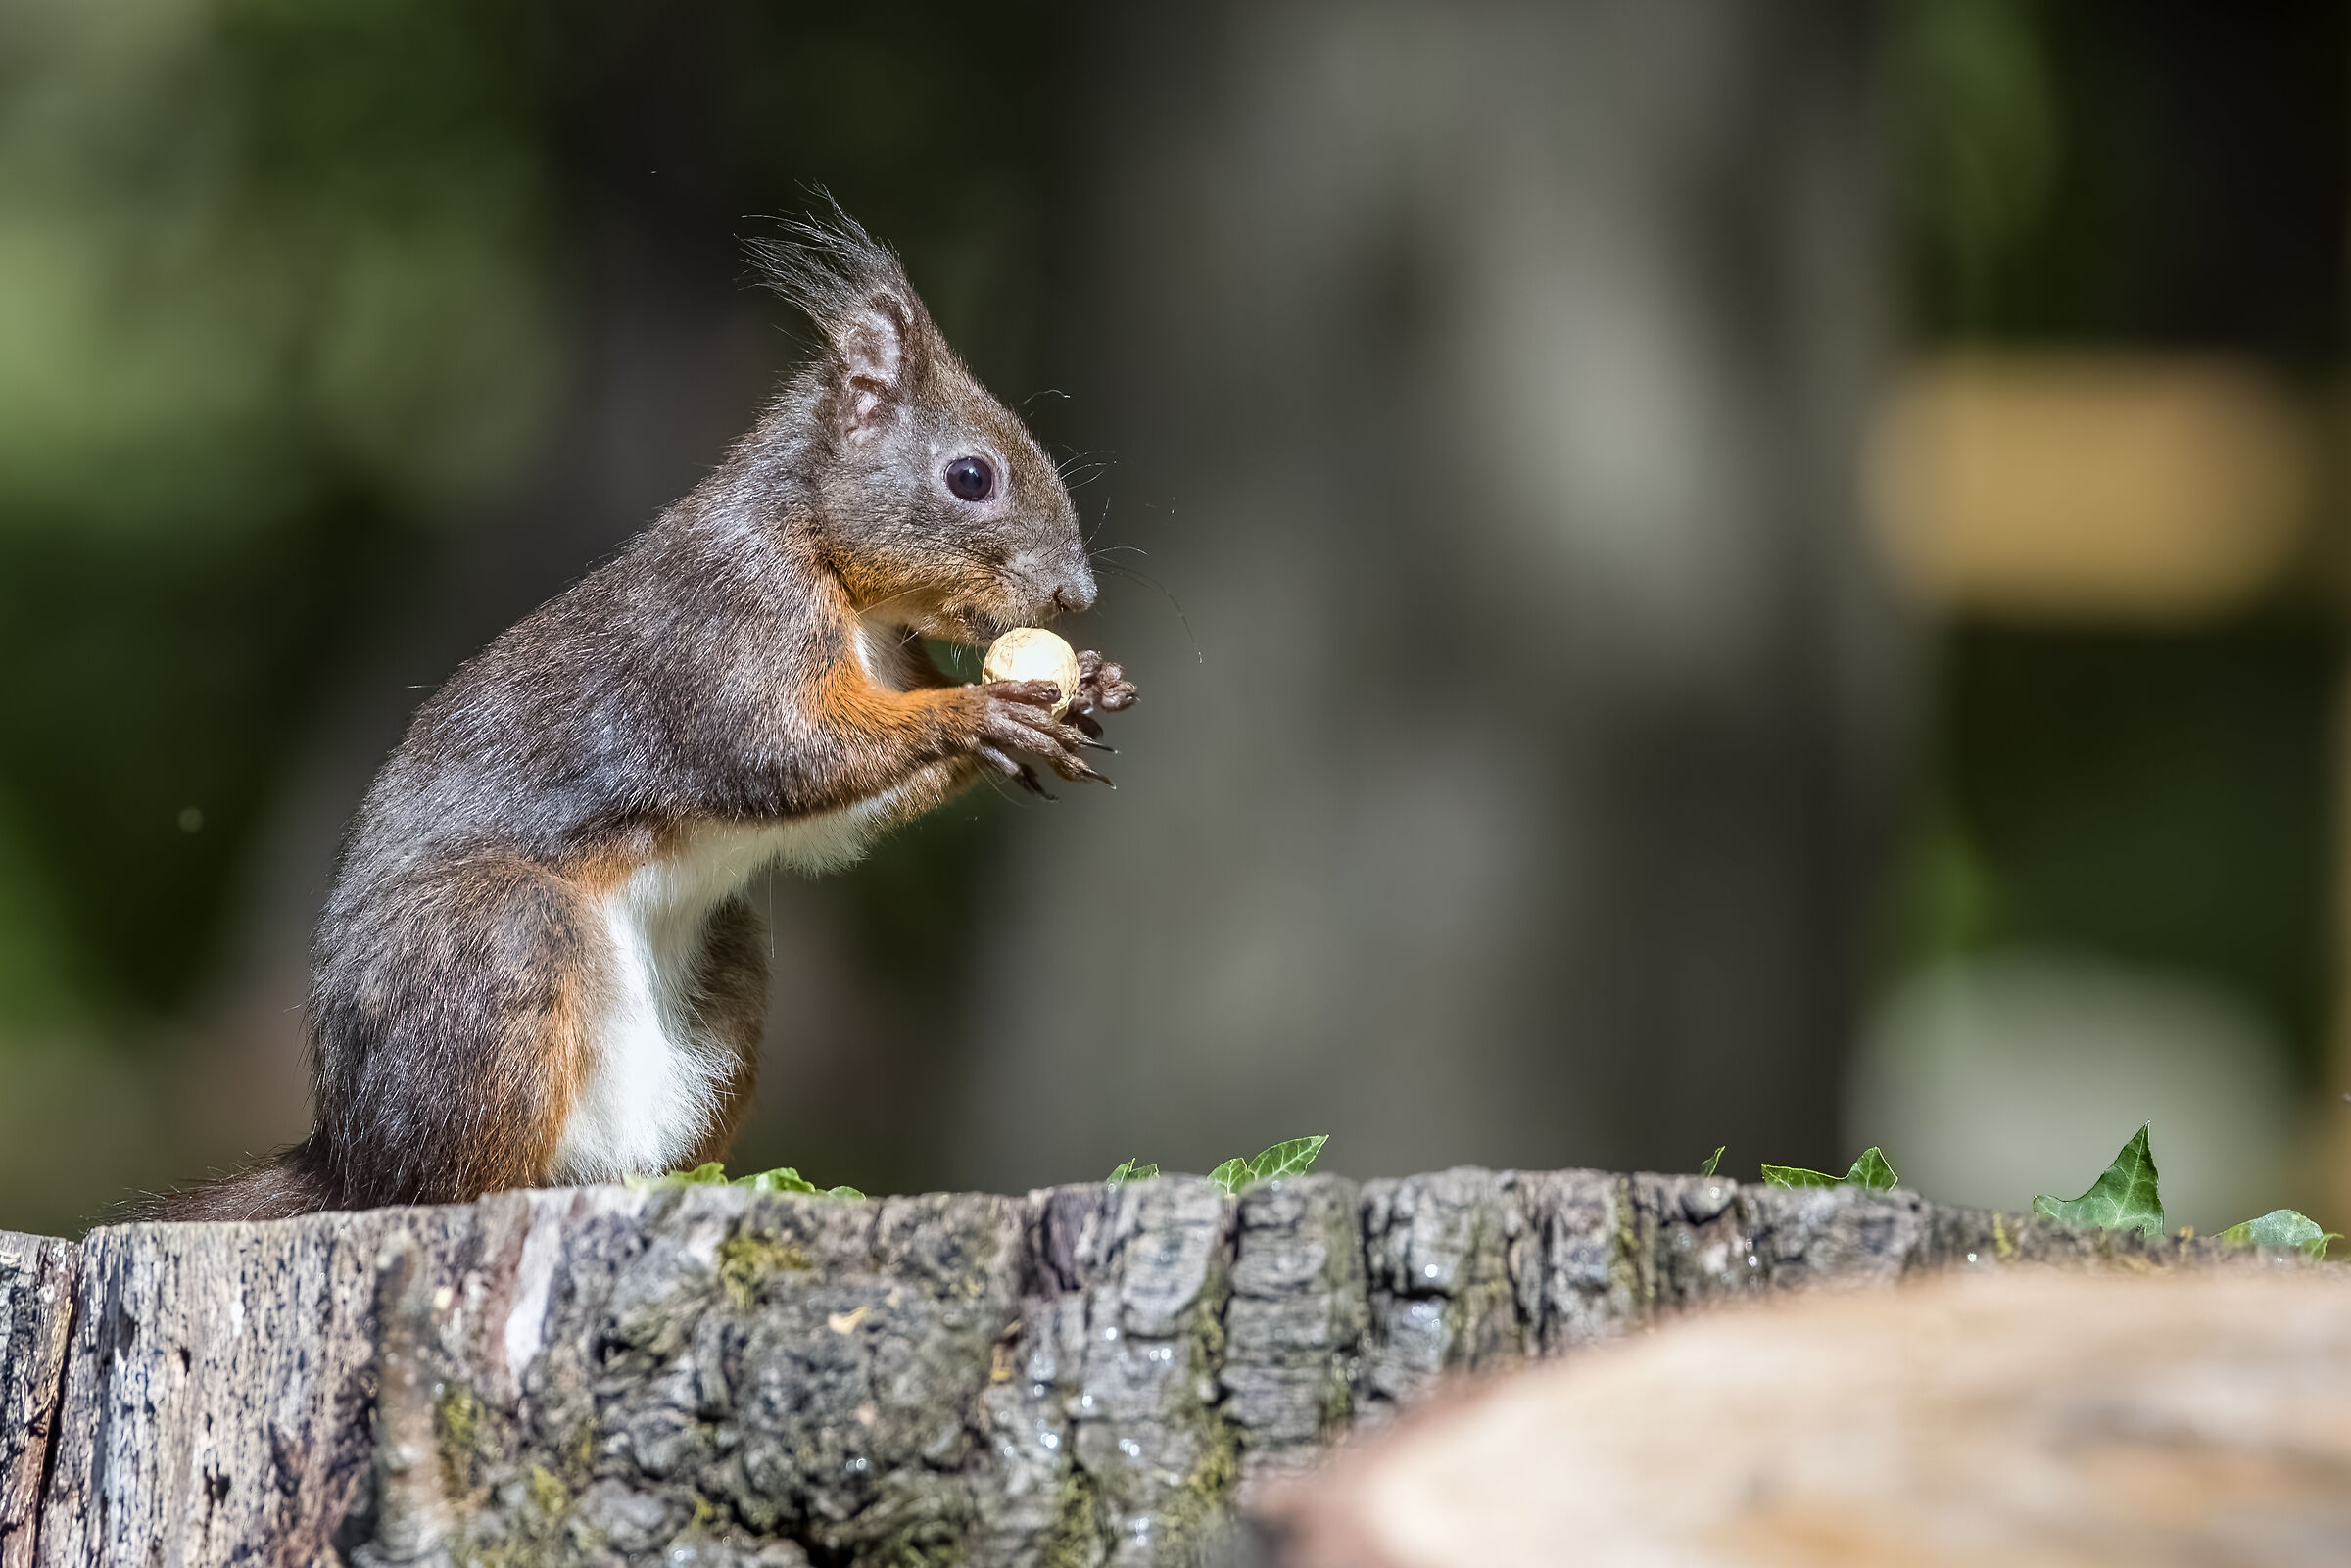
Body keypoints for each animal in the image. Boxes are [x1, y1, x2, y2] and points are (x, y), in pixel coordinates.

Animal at [152, 209, 1135, 1221]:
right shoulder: (725, 630)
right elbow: (783, 751)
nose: (1077, 595)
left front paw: (1082, 689)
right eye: (971, 476)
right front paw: (983, 709)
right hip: (494, 954)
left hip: (720, 989)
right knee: (437, 1180)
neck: (829, 567)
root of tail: (345, 1154)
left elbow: (837, 810)